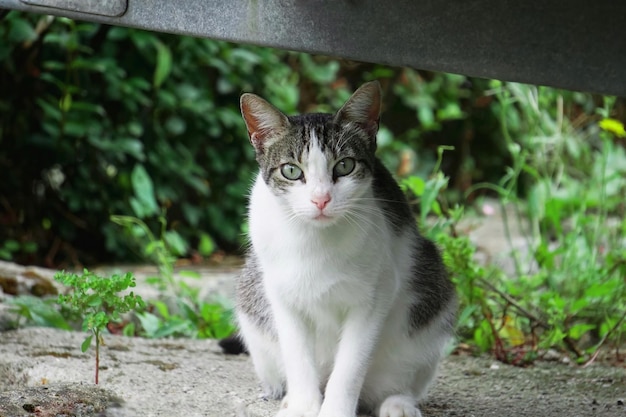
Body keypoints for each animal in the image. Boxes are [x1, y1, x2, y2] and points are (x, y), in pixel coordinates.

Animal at [234, 81, 454, 416]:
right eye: (291, 171)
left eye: (345, 166)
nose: (321, 199)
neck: (315, 240)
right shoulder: (280, 291)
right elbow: (297, 355)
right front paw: (303, 406)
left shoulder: (377, 293)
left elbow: (351, 365)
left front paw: (335, 409)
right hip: (251, 299)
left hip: (431, 305)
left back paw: (398, 403)